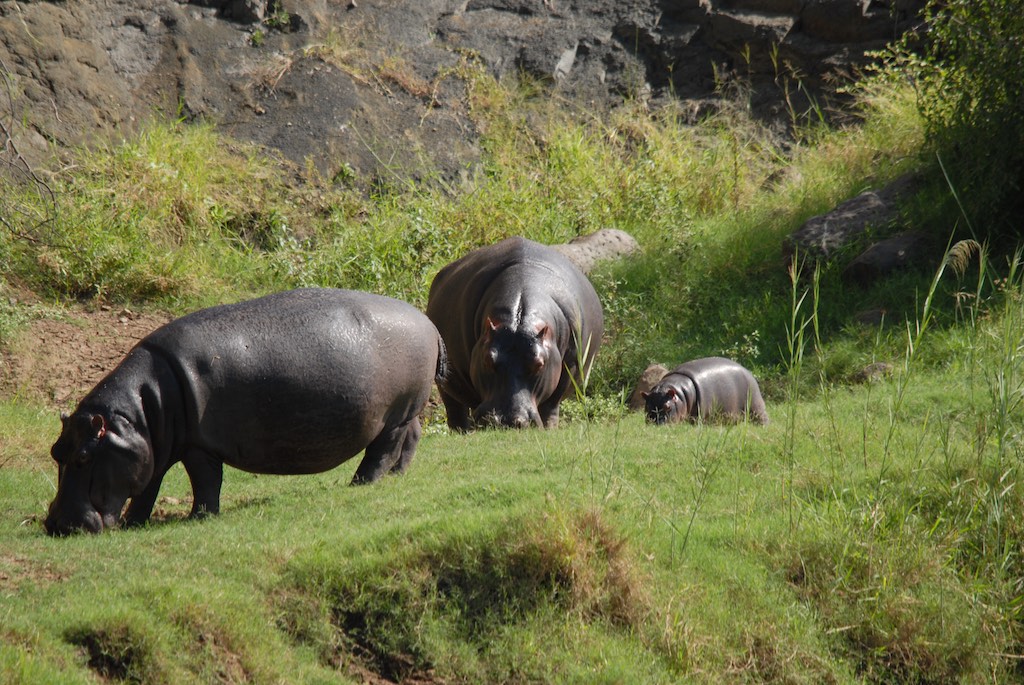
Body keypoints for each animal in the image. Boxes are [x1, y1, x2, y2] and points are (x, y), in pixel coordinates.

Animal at [44, 288, 446, 532]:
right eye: (55, 451)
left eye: (83, 457)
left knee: (381, 451)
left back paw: (361, 483)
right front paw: (134, 523)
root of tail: (429, 322)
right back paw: (396, 477)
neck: (137, 415)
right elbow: (146, 488)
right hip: (407, 411)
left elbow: (205, 482)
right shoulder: (151, 450)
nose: (56, 525)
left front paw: (199, 517)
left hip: (395, 413)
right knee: (410, 438)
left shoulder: (197, 446)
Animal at [425, 235, 602, 427]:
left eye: (539, 364)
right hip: (445, 380)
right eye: (487, 359)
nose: (505, 420)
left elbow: (551, 405)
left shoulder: (571, 365)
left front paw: (549, 427)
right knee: (456, 411)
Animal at [638, 358, 770, 421]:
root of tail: (747, 371)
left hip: (755, 405)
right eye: (647, 407)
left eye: (667, 407)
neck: (680, 393)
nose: (655, 423)